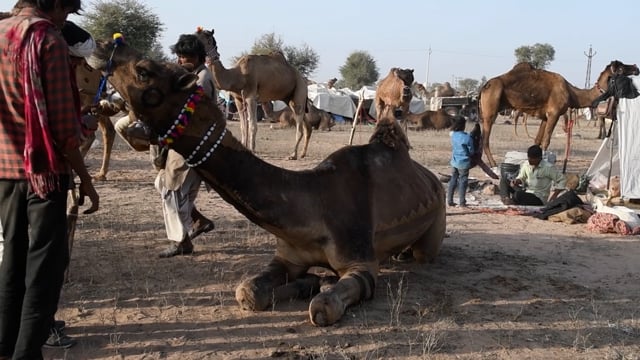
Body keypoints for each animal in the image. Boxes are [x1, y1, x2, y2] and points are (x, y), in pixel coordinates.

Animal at [194, 27, 308, 158]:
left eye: (203, 38)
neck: (237, 75)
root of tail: (303, 79)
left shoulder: (251, 97)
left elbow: (253, 125)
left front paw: (252, 149)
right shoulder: (238, 99)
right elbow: (243, 126)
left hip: (299, 93)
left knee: (299, 125)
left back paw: (293, 155)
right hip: (289, 98)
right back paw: (302, 153)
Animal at [478, 60, 636, 167]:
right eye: (621, 68)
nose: (636, 67)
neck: (572, 93)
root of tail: (484, 87)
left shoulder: (545, 117)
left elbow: (537, 141)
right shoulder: (554, 113)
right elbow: (546, 141)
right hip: (491, 107)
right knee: (485, 139)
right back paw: (493, 165)